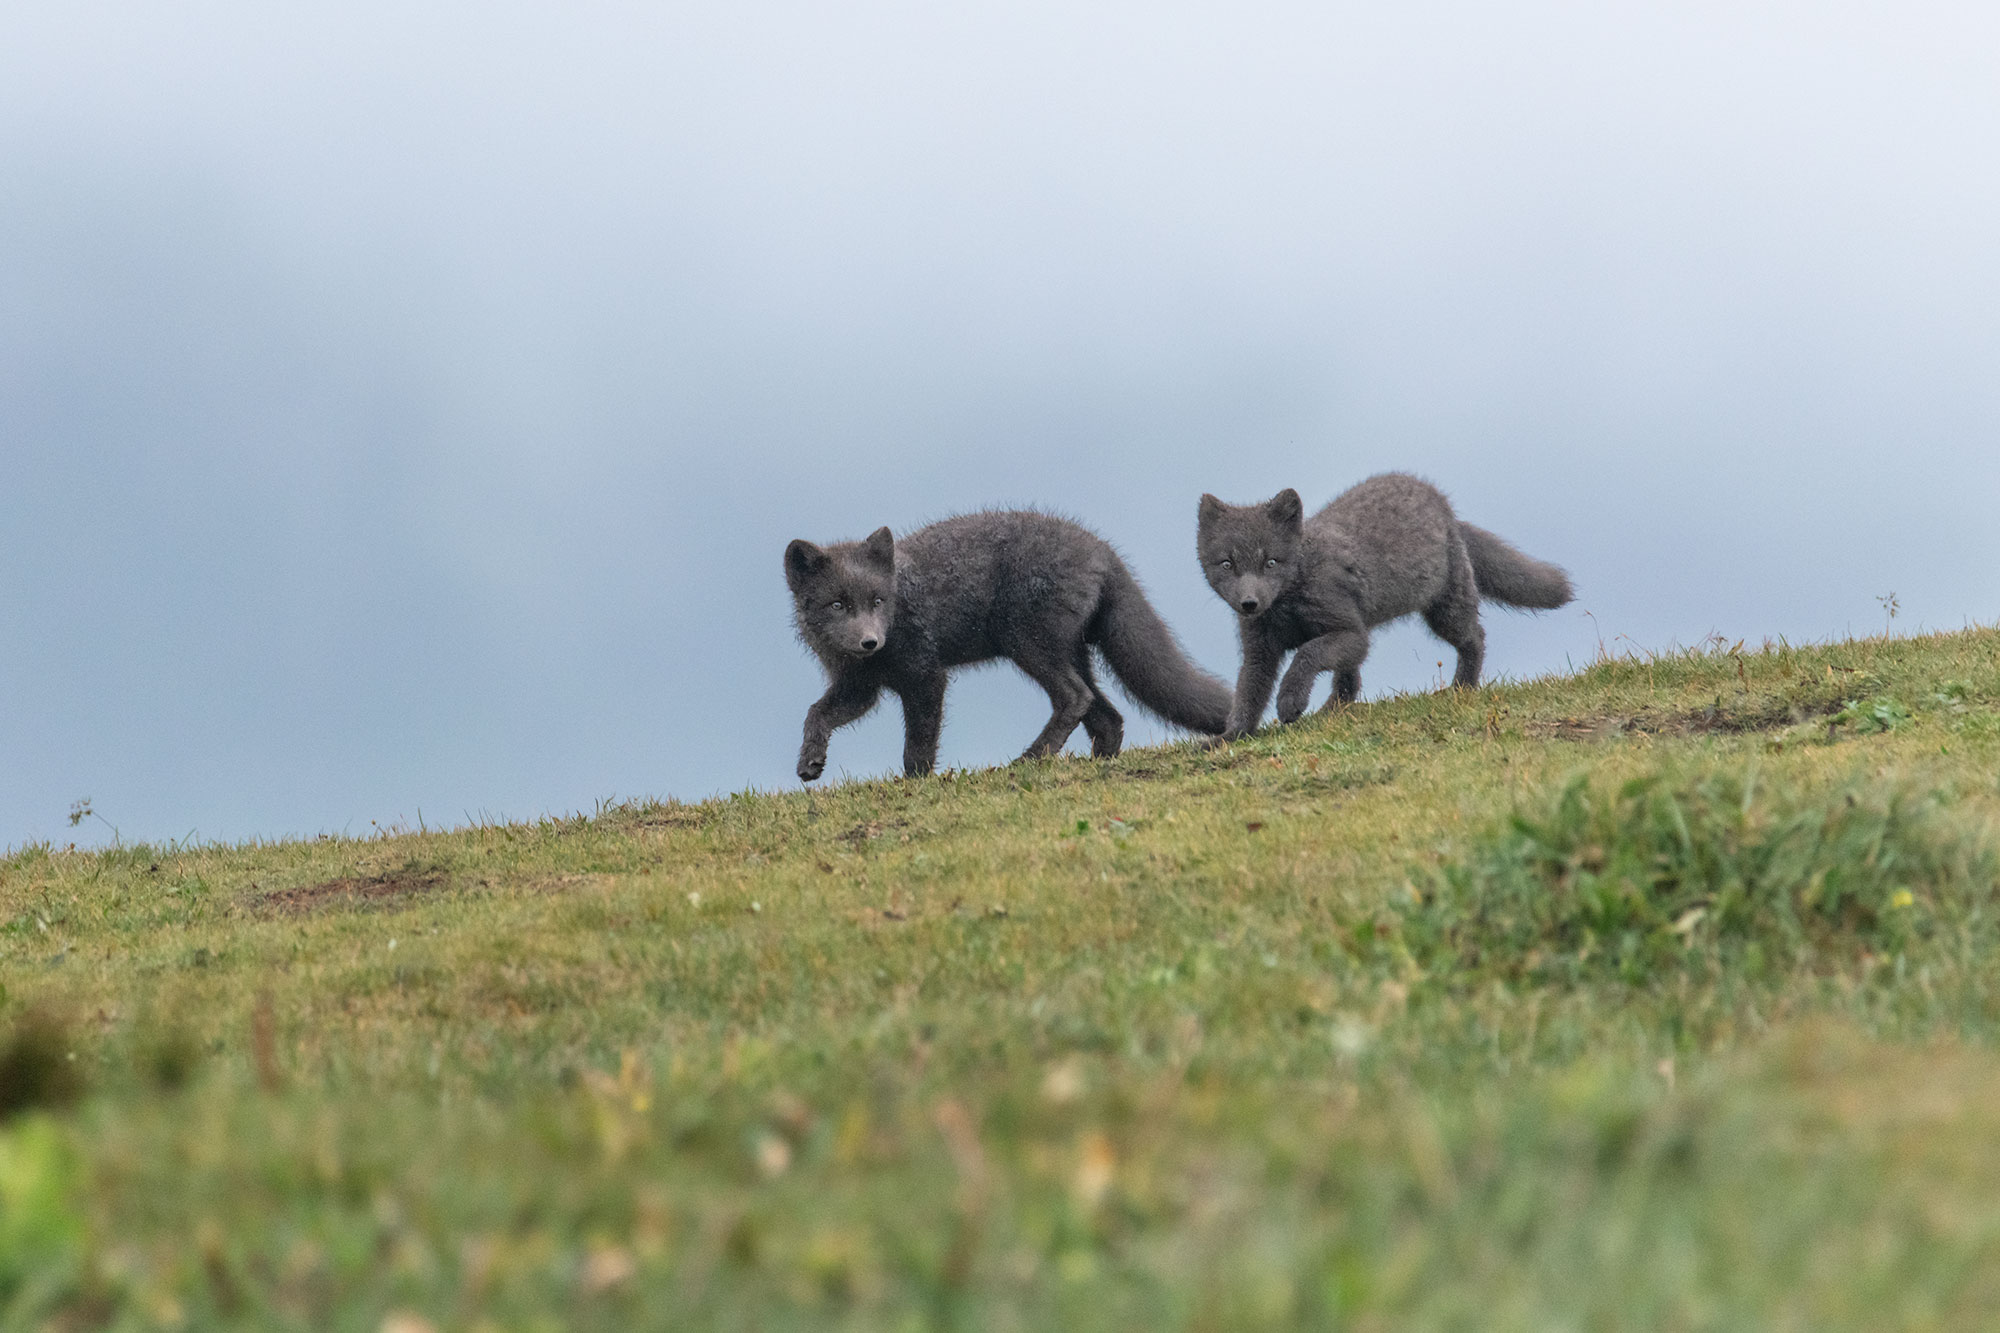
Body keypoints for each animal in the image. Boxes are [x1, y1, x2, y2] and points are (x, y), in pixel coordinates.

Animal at [785, 511, 1232, 782]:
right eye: (837, 605)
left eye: (878, 601)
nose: (869, 641)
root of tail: (1101, 548)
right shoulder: (860, 687)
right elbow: (815, 713)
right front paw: (810, 761)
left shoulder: (926, 676)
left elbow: (918, 745)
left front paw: (916, 783)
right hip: (1069, 652)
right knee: (1108, 715)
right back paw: (1094, 764)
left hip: (1028, 643)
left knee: (1076, 697)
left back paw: (1032, 758)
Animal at [1196, 472, 1573, 739]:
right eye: (1227, 564)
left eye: (1271, 562)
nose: (1249, 603)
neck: (1288, 604)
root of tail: (1442, 502)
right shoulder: (1259, 651)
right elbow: (1248, 694)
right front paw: (1230, 737)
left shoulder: (1351, 631)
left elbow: (1307, 655)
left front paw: (1290, 703)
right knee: (1349, 679)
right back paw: (1333, 711)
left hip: (1446, 612)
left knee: (1475, 638)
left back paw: (1461, 688)